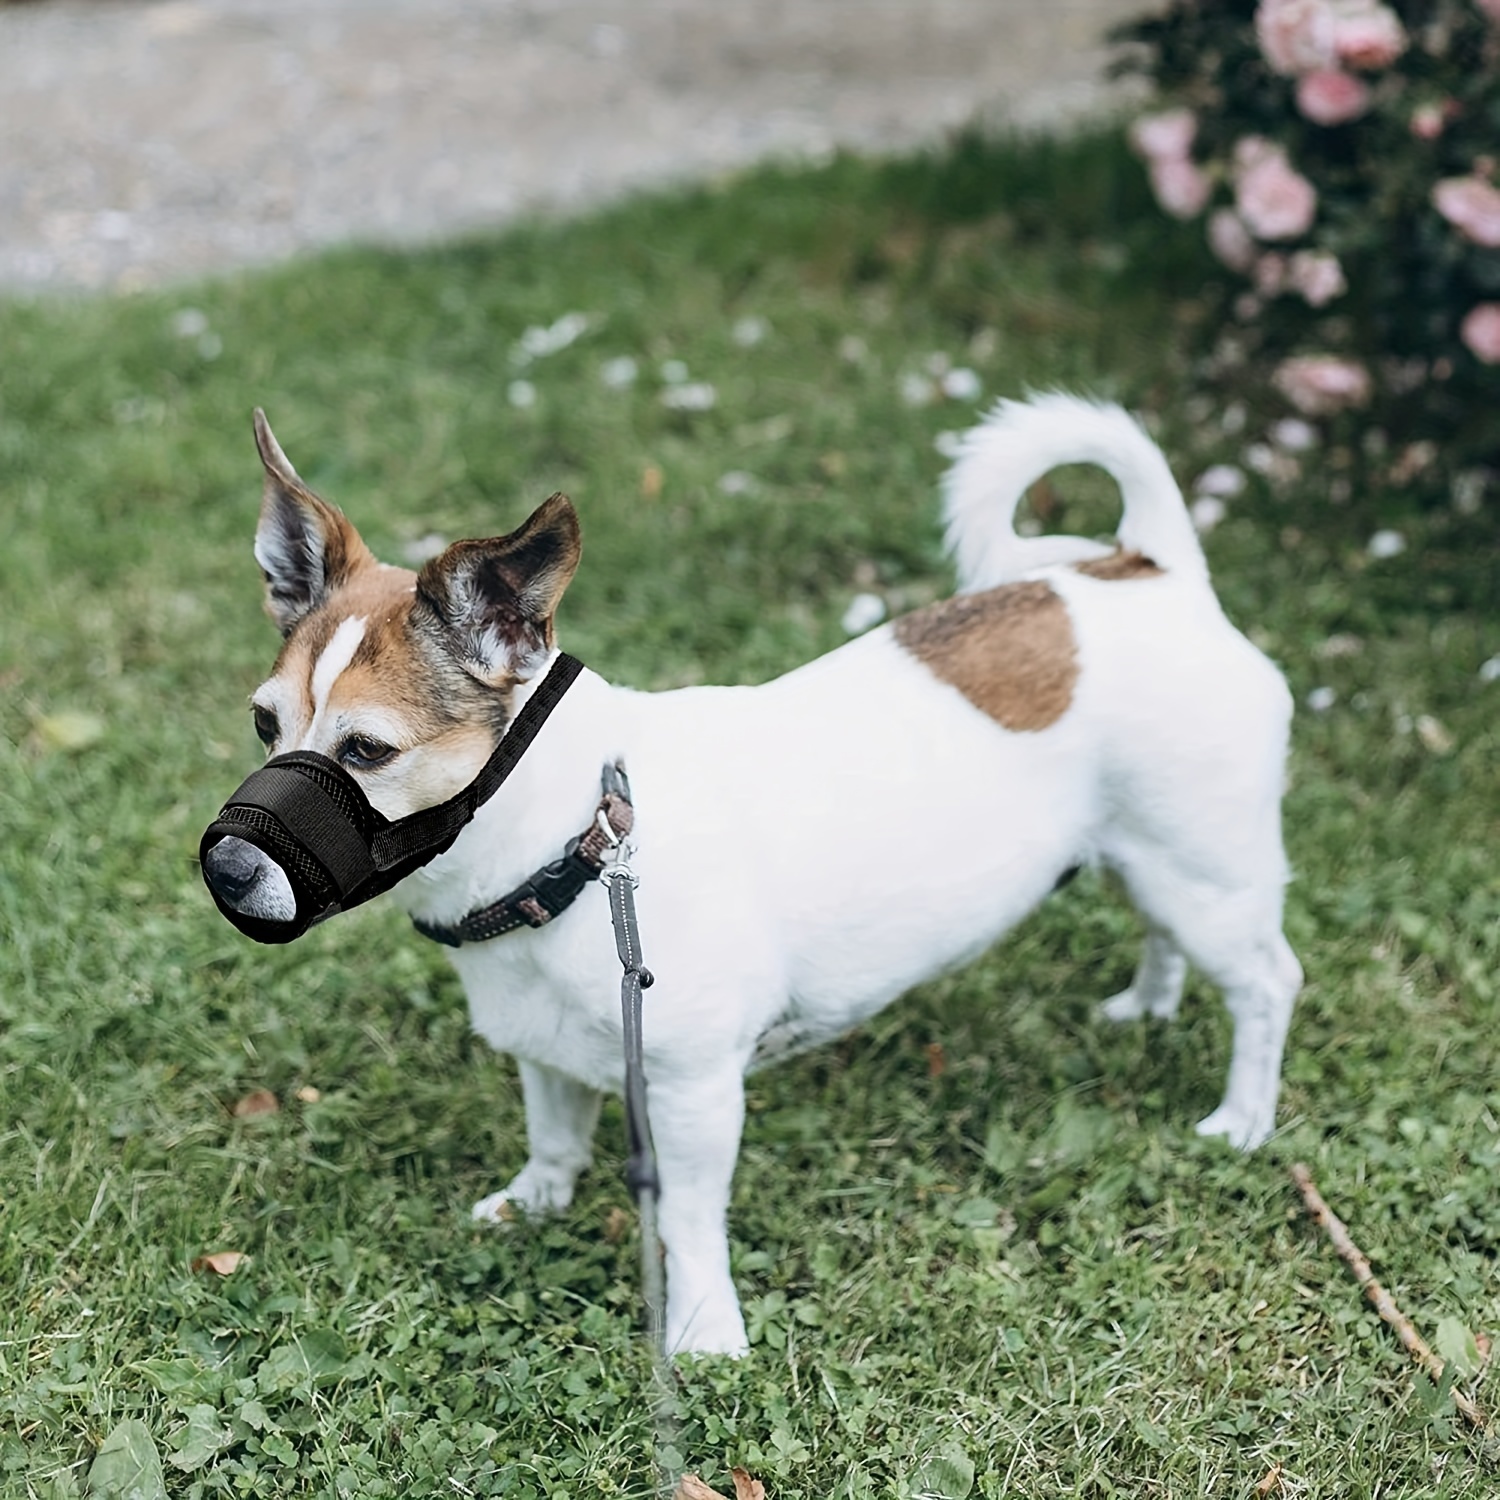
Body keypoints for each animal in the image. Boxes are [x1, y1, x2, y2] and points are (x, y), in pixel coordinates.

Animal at [205, 393, 1296, 1356]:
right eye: (264, 725)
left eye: (368, 752)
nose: (225, 865)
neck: (577, 843)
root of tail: (1153, 570)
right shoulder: (546, 1058)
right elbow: (555, 1136)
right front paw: (535, 1203)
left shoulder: (693, 1097)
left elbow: (688, 1225)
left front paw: (703, 1332)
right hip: (1152, 859)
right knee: (1161, 929)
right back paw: (1146, 1005)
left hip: (1206, 873)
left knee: (1266, 984)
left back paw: (1243, 1119)